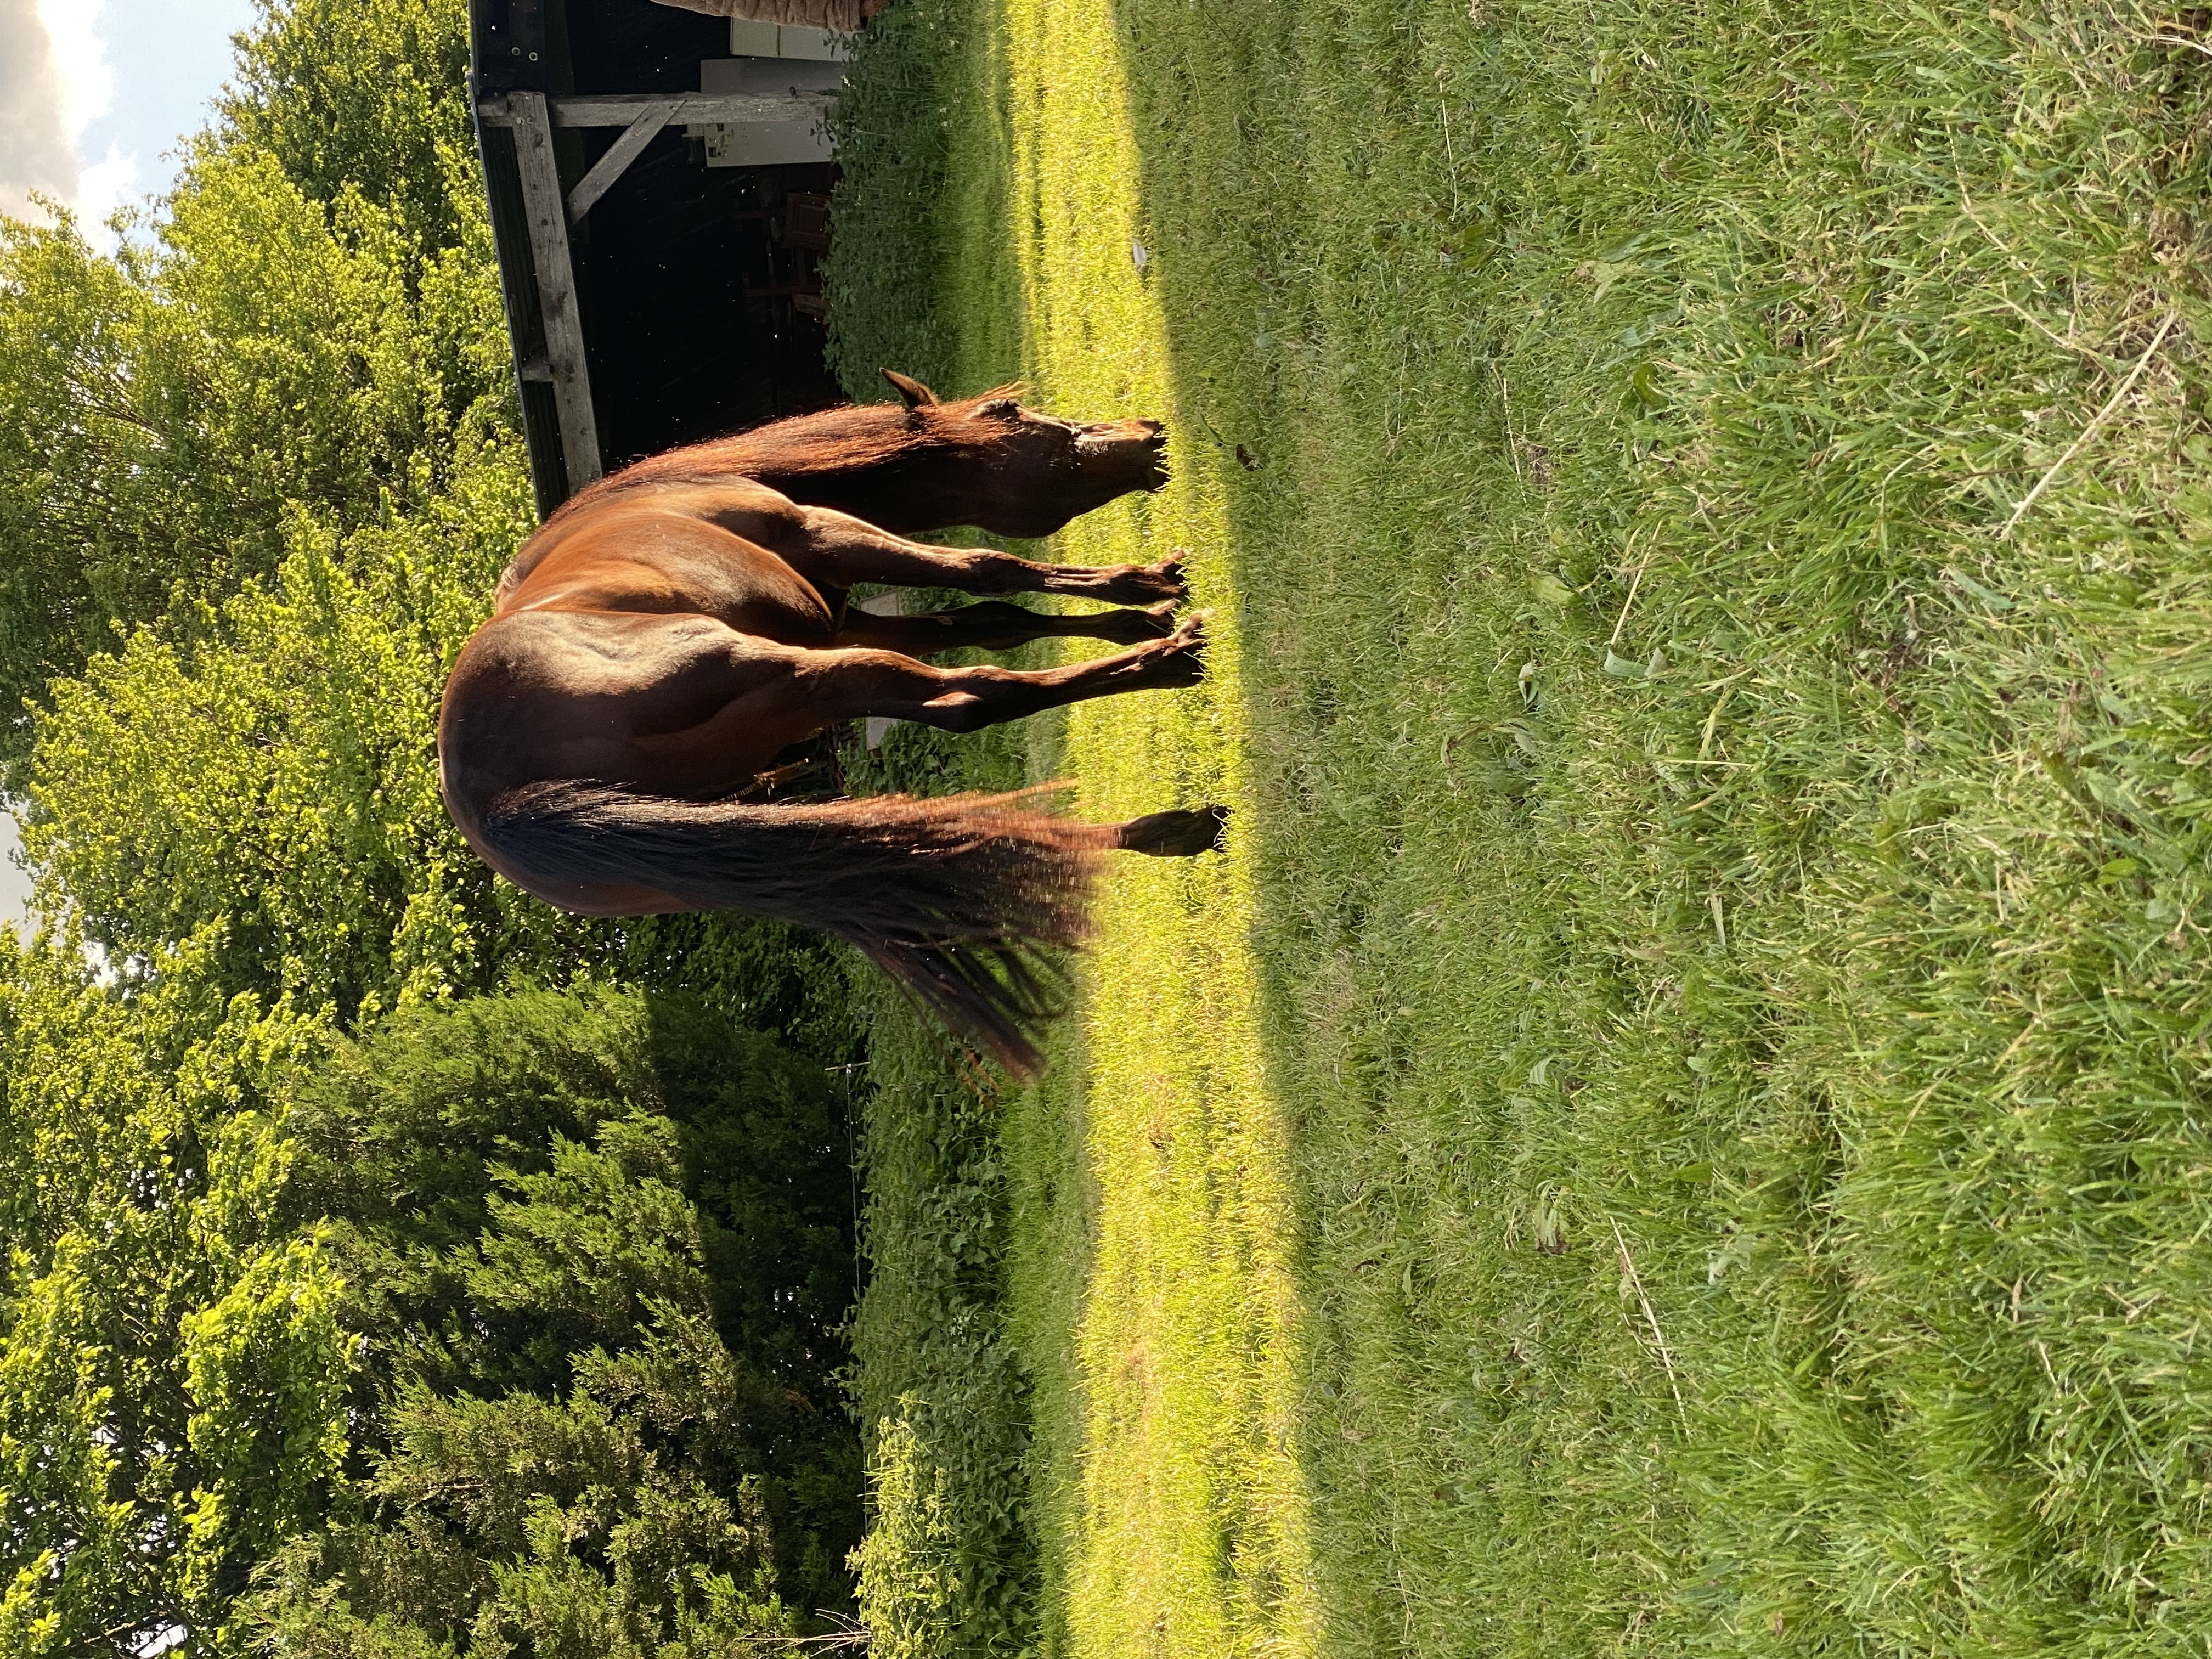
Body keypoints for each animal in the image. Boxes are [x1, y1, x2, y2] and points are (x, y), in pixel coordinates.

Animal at [438, 371, 1226, 1075]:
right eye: (1009, 412)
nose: (1146, 435)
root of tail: (489, 797)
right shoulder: (833, 539)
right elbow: (991, 569)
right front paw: (1148, 592)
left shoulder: (850, 620)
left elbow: (994, 619)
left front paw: (1136, 613)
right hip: (799, 677)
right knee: (973, 700)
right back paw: (1171, 669)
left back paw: (1168, 828)